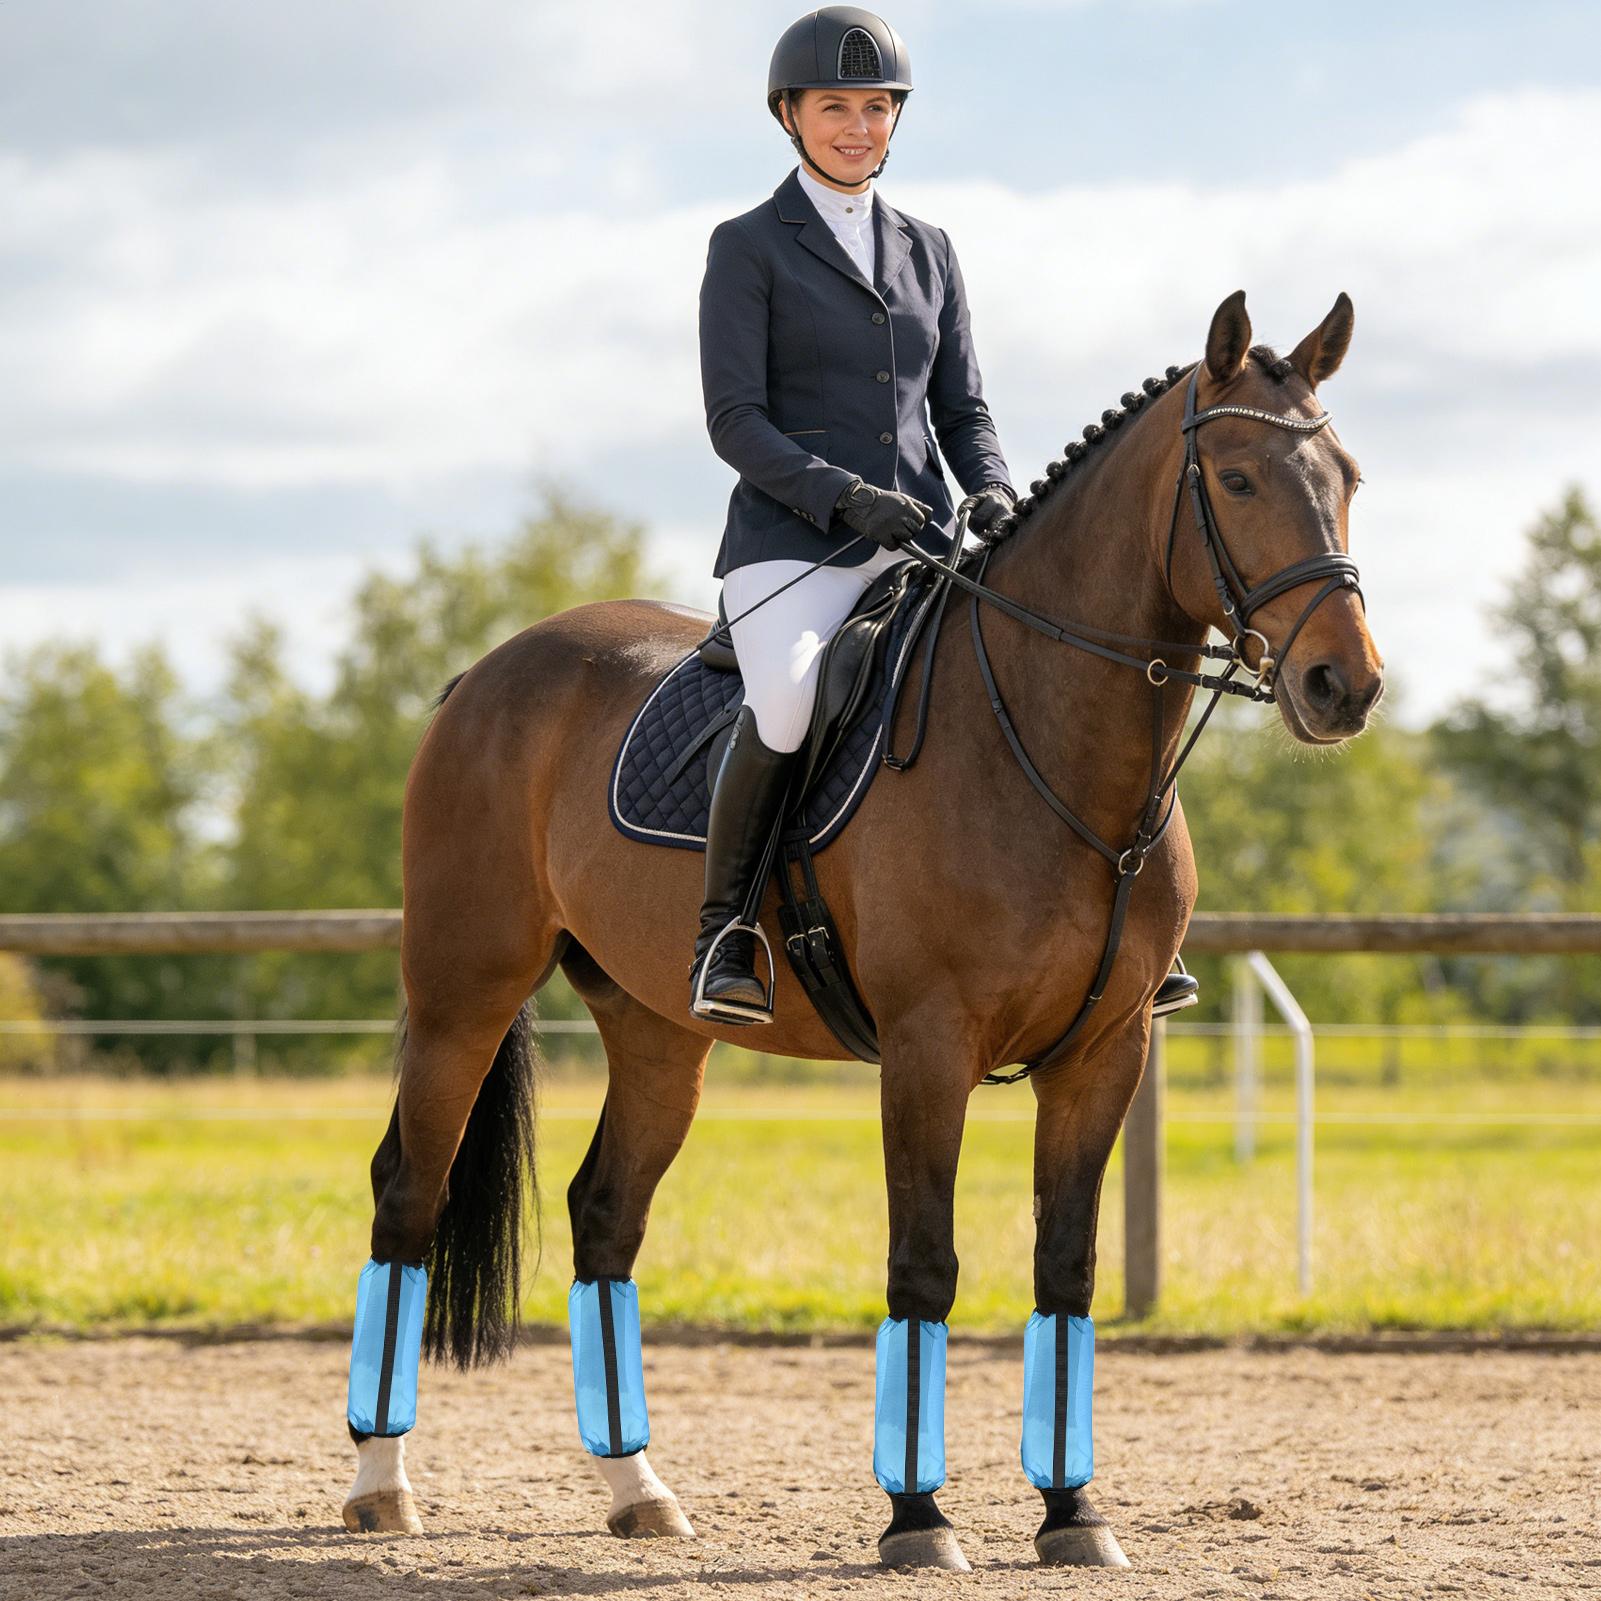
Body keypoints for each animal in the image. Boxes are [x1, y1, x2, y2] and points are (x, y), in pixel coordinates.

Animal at [339, 289, 1384, 1572]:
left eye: (1345, 475)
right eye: (1234, 478)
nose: (1343, 685)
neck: (1048, 746)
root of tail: (484, 672)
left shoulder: (1104, 1052)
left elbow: (1067, 1266)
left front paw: (1072, 1510)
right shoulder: (928, 1047)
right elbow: (923, 1265)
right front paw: (917, 1516)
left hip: (656, 1027)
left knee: (605, 1213)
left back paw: (638, 1488)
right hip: (463, 992)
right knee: (408, 1191)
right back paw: (382, 1483)